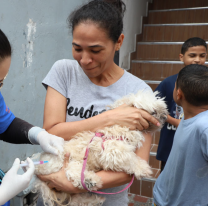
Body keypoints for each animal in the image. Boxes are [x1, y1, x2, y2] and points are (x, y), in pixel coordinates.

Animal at [31, 91, 167, 206]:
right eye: (154, 111)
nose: (165, 115)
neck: (120, 127)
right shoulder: (112, 152)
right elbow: (131, 159)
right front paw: (143, 168)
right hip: (59, 162)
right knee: (71, 172)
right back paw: (90, 180)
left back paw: (92, 195)